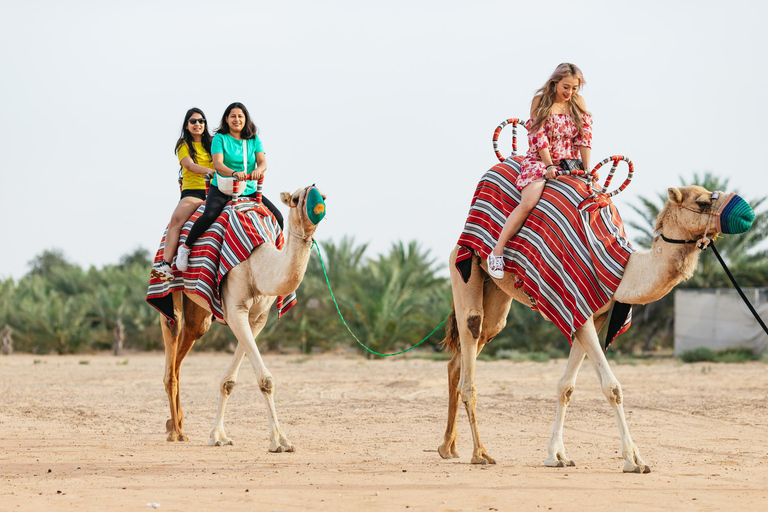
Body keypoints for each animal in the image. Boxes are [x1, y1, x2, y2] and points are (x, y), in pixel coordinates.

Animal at [162, 185, 324, 452]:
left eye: (323, 195)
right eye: (296, 199)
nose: (317, 200)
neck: (258, 264)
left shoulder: (258, 317)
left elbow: (230, 381)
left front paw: (219, 435)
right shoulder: (234, 308)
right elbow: (265, 379)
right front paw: (279, 441)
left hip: (200, 310)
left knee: (189, 338)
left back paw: (177, 425)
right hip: (171, 287)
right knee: (172, 330)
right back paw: (175, 432)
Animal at [438, 186, 756, 474]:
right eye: (702, 202)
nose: (747, 212)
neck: (625, 270)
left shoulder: (596, 315)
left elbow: (566, 387)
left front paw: (557, 456)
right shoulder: (577, 308)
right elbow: (612, 387)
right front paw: (634, 460)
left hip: (497, 296)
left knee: (461, 358)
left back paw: (448, 448)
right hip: (464, 269)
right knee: (471, 339)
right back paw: (479, 453)